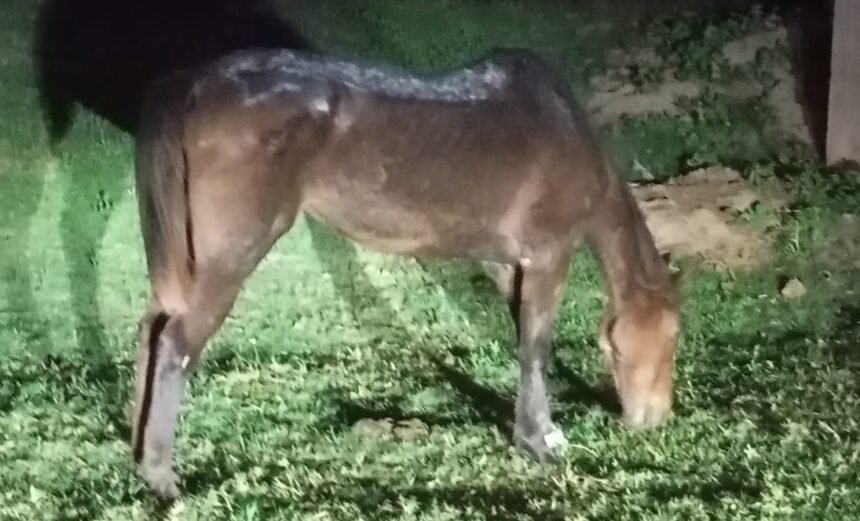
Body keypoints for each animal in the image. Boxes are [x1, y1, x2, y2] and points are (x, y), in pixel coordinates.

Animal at [129, 46, 682, 498]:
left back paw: (138, 455)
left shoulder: (511, 266)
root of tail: (198, 84)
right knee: (176, 345)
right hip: (230, 258)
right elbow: (538, 348)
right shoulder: (548, 256)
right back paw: (163, 478)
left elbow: (522, 342)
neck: (564, 129)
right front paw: (542, 441)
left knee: (151, 332)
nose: (657, 419)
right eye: (675, 333)